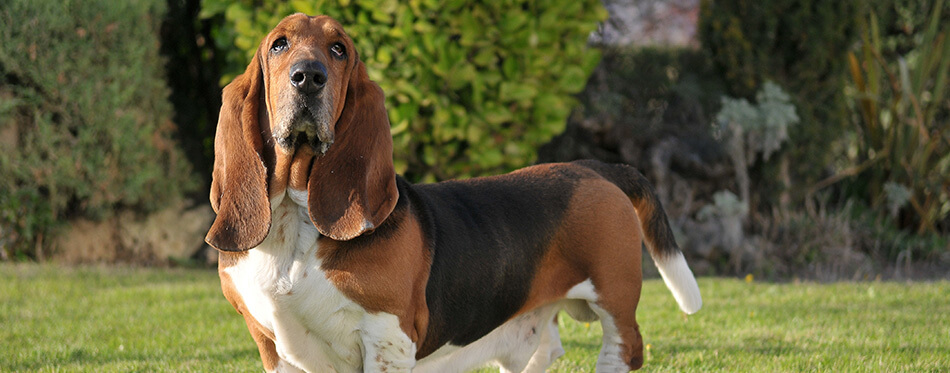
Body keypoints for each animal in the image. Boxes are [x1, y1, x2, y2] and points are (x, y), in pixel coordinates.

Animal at [206, 13, 700, 370]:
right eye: (279, 45)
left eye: (339, 49)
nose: (309, 76)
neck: (295, 216)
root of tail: (594, 167)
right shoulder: (270, 345)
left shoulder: (386, 339)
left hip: (614, 299)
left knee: (624, 347)